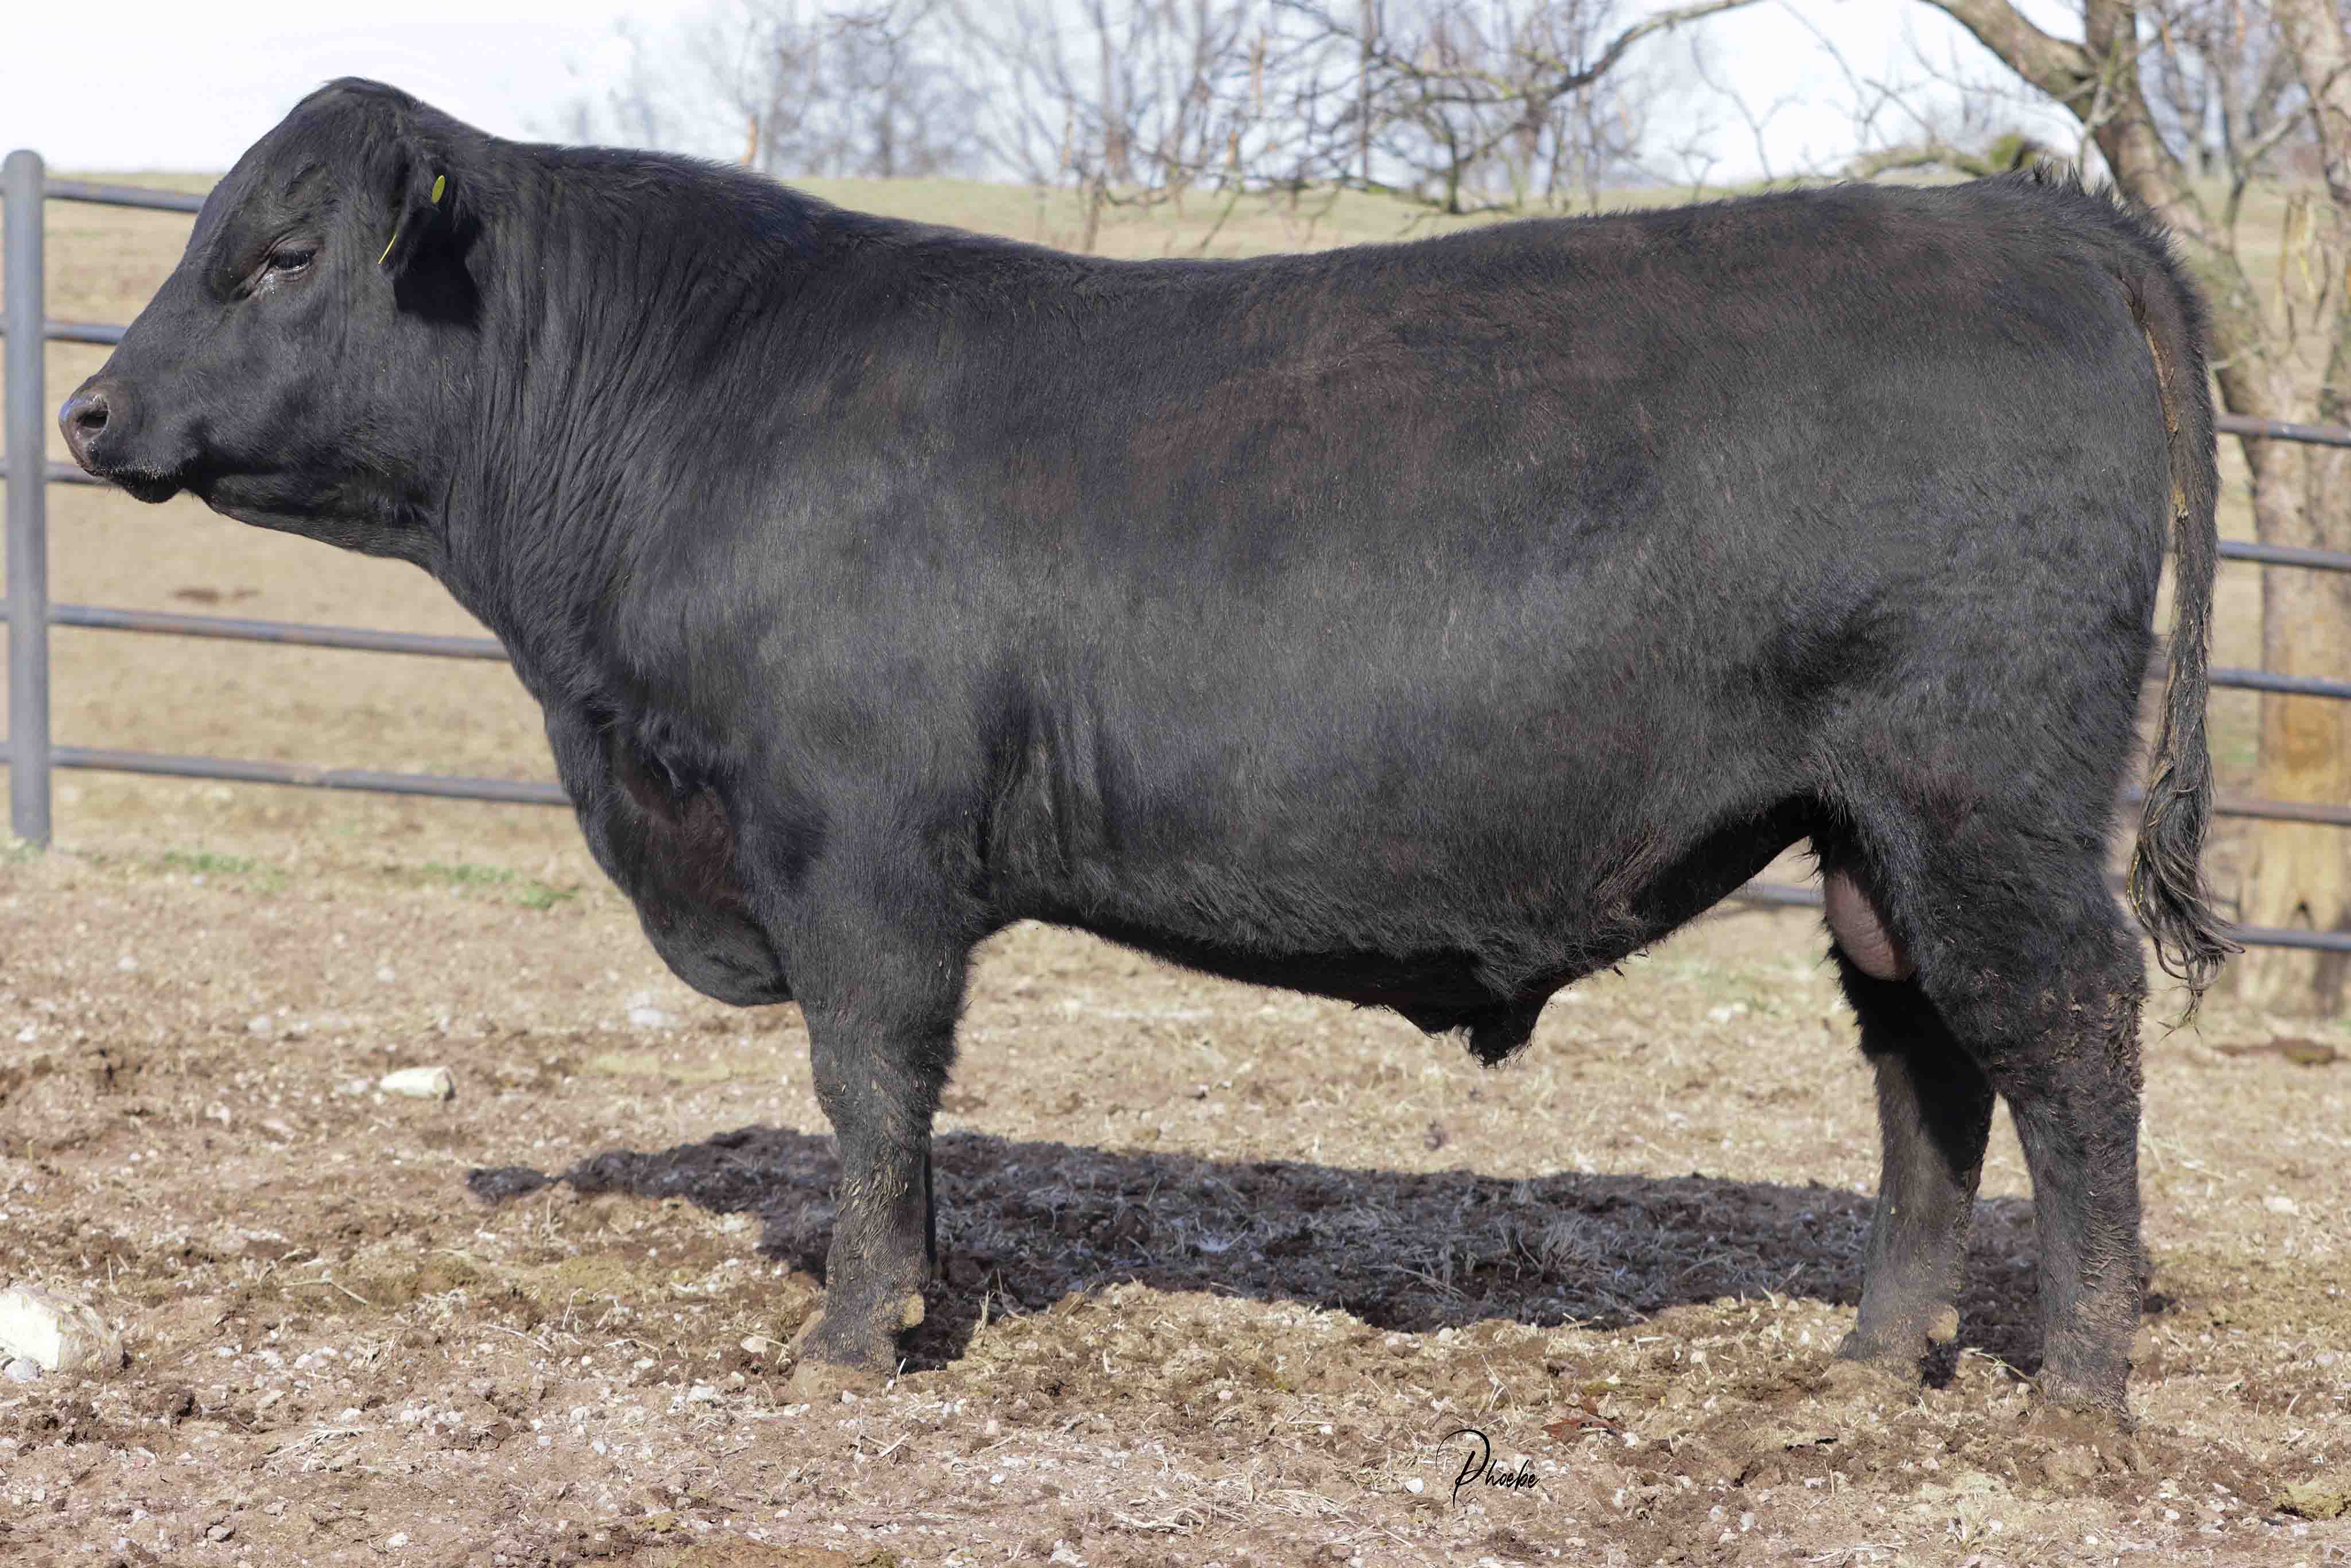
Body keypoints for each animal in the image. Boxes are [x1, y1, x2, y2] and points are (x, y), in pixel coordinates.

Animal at [62, 79, 2233, 1421]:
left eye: (283, 255)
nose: (85, 413)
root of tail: (2031, 224)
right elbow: (897, 1118)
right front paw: (919, 1301)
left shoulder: (852, 845)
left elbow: (869, 1087)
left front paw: (850, 1338)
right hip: (1867, 828)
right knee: (1923, 1060)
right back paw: (1871, 1362)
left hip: (1982, 795)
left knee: (2065, 1032)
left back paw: (2075, 1389)